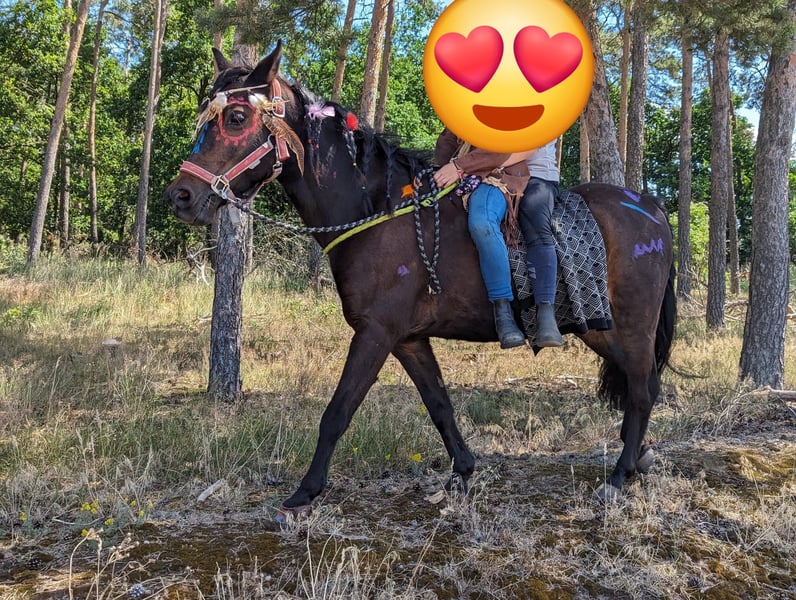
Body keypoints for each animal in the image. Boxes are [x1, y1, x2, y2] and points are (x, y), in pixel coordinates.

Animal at [165, 42, 676, 513]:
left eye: (235, 117)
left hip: (630, 326)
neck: (376, 210)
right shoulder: (407, 339)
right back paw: (635, 460)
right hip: (603, 330)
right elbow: (440, 405)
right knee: (641, 387)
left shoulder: (375, 332)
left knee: (642, 389)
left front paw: (305, 493)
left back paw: (618, 477)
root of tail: (651, 210)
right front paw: (463, 473)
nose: (181, 196)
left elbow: (337, 412)